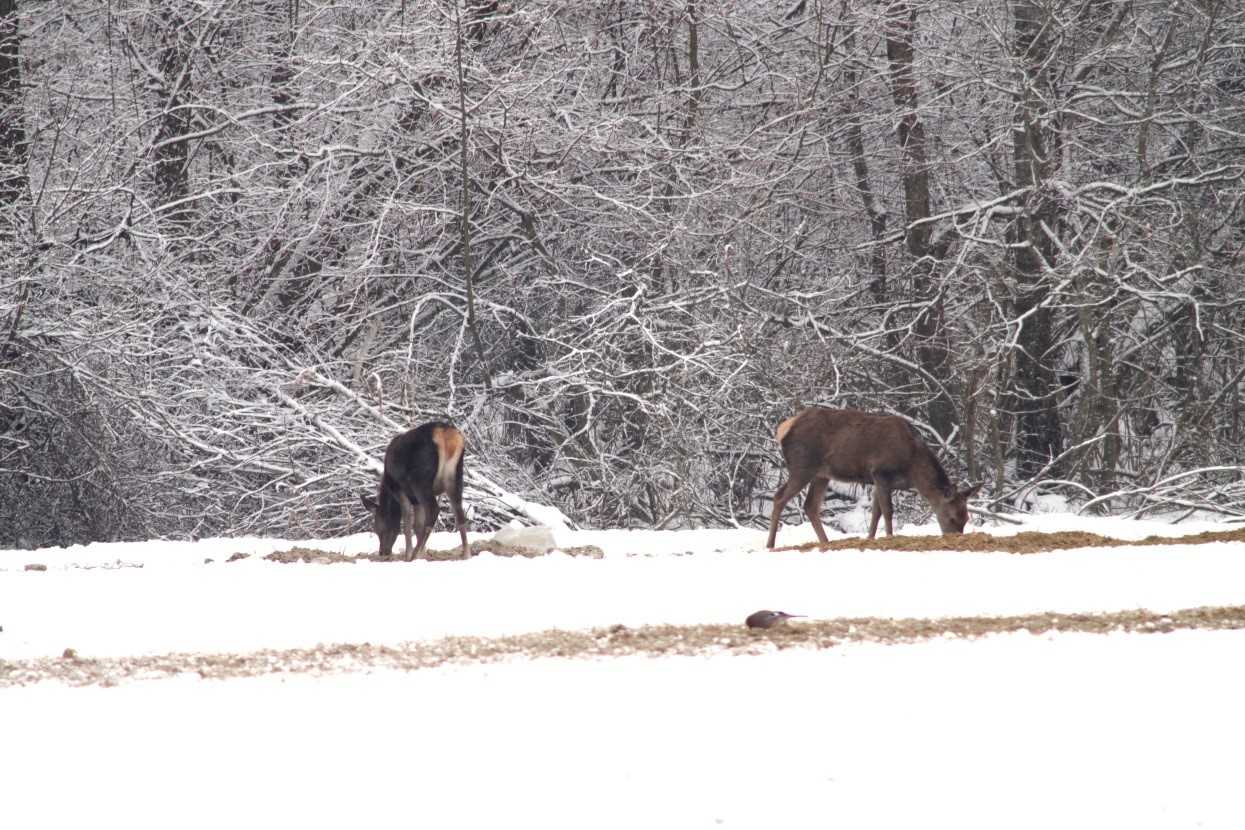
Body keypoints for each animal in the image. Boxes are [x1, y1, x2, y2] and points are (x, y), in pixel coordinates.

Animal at [366, 423, 473, 564]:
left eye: (378, 528)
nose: (383, 552)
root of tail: (445, 434)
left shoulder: (400, 490)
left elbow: (407, 522)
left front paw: (408, 554)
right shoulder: (416, 501)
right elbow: (417, 525)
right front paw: (423, 553)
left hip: (420, 480)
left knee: (433, 510)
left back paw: (414, 555)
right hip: (455, 476)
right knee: (459, 514)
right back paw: (466, 554)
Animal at [756, 405, 981, 547]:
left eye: (966, 517)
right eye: (952, 517)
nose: (954, 538)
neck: (912, 466)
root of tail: (784, 428)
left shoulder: (878, 481)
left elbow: (876, 512)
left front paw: (870, 538)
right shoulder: (880, 472)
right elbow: (888, 511)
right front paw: (890, 537)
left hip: (822, 474)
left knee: (810, 505)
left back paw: (826, 542)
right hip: (802, 466)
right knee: (779, 497)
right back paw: (770, 544)